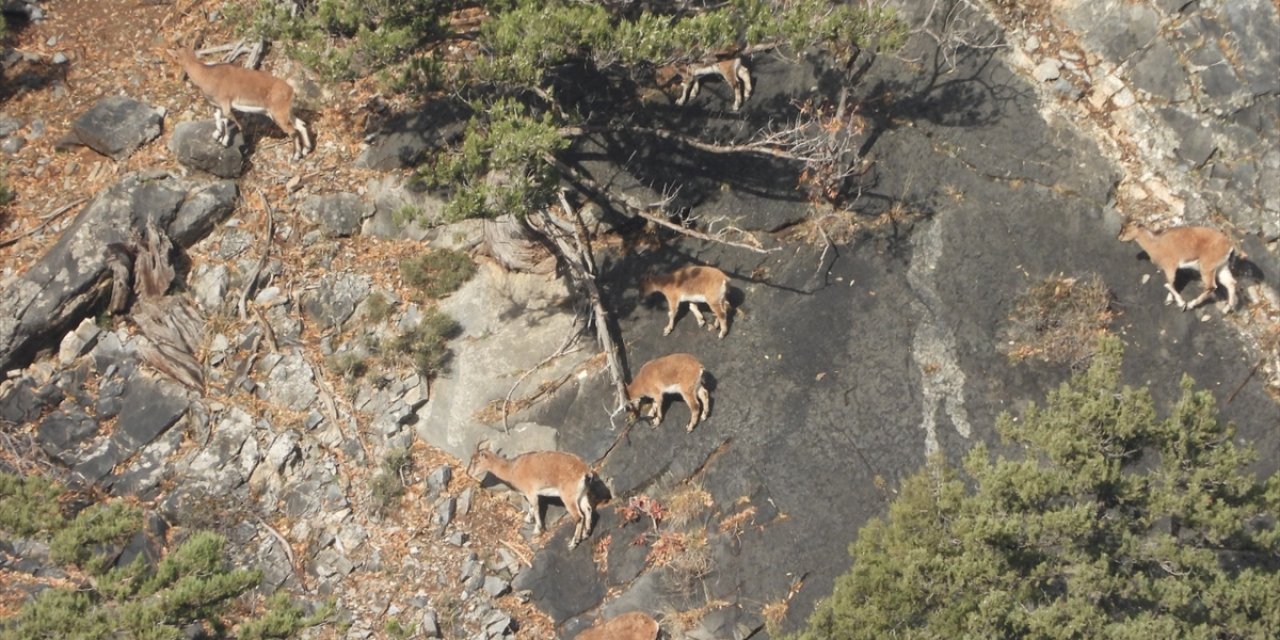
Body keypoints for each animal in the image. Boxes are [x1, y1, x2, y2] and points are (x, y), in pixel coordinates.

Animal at [170, 47, 312, 161]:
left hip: (279, 114)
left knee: (293, 131)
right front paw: (216, 136)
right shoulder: (217, 105)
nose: (177, 76)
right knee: (301, 125)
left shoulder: (225, 103)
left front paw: (225, 142)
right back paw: (306, 149)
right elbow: (218, 120)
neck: (207, 75)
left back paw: (295, 156)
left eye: (176, 57)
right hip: (286, 113)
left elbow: (227, 121)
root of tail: (291, 91)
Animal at [468, 445, 596, 550]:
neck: (512, 469)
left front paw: (537, 530)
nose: (468, 473)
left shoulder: (531, 493)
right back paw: (586, 534)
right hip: (582, 494)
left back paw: (573, 543)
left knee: (579, 517)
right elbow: (531, 506)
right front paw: (528, 519)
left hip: (568, 497)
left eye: (476, 461)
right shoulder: (528, 493)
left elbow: (535, 507)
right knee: (588, 509)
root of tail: (585, 472)